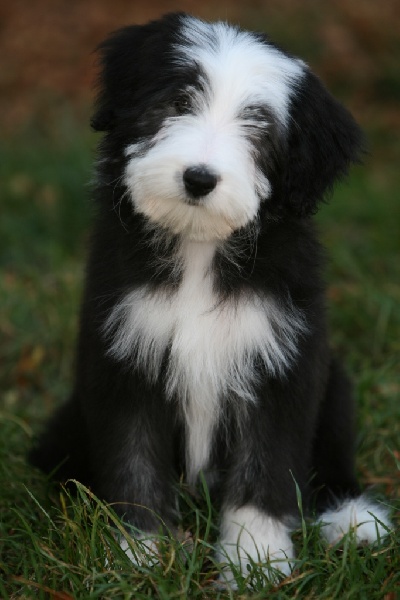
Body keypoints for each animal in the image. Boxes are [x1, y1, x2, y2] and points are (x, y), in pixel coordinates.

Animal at [30, 12, 390, 583]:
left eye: (259, 129)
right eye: (179, 102)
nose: (199, 178)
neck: (200, 250)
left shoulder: (279, 363)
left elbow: (265, 464)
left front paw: (255, 561)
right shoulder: (123, 359)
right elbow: (134, 460)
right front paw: (137, 552)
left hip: (333, 381)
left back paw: (350, 516)